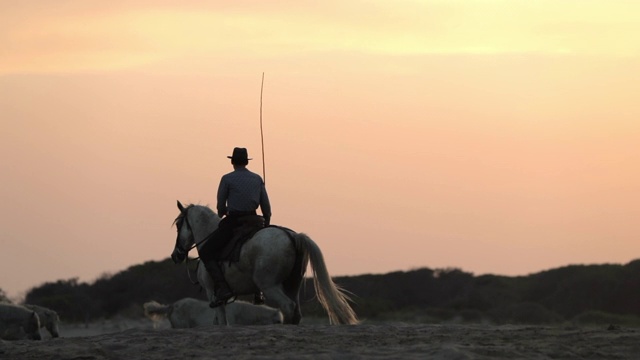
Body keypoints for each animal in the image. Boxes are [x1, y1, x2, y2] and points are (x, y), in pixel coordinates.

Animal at [170, 201, 358, 324]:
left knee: (287, 307)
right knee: (295, 312)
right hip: (292, 285)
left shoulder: (213, 293)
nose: (176, 255)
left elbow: (222, 321)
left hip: (270, 286)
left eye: (179, 225)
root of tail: (293, 236)